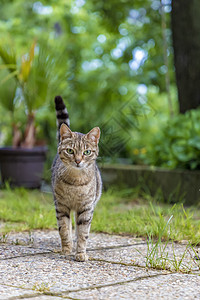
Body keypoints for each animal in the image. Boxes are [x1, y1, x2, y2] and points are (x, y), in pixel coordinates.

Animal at [51, 96, 102, 262]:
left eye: (87, 152)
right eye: (70, 151)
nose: (78, 161)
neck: (76, 182)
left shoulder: (86, 208)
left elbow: (83, 232)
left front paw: (80, 253)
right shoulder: (61, 206)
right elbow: (64, 229)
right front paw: (66, 250)